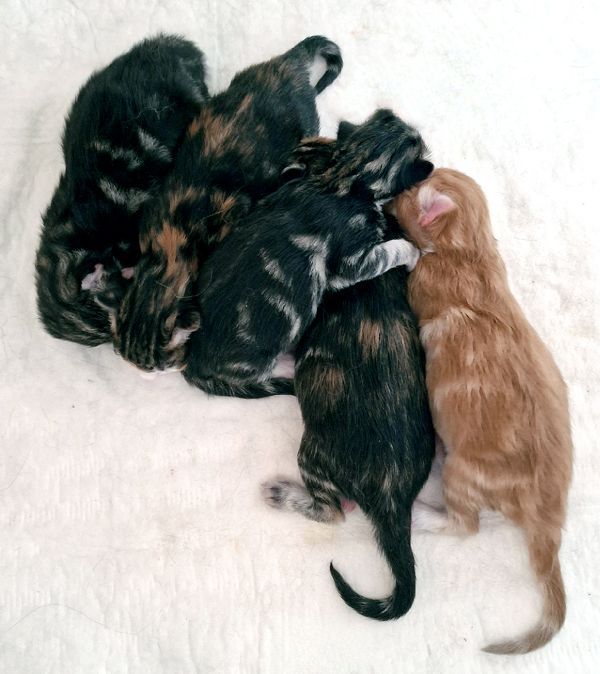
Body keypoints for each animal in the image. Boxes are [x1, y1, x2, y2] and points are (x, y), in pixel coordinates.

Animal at [181, 109, 433, 398]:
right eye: (416, 141)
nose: (418, 133)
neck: (341, 179)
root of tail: (192, 363)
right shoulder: (352, 259)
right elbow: (388, 253)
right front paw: (412, 252)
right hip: (260, 356)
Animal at [392, 168, 573, 653]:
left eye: (405, 193)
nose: (390, 193)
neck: (470, 249)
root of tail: (548, 519)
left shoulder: (423, 280)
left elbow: (410, 264)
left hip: (463, 474)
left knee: (465, 526)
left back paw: (423, 516)